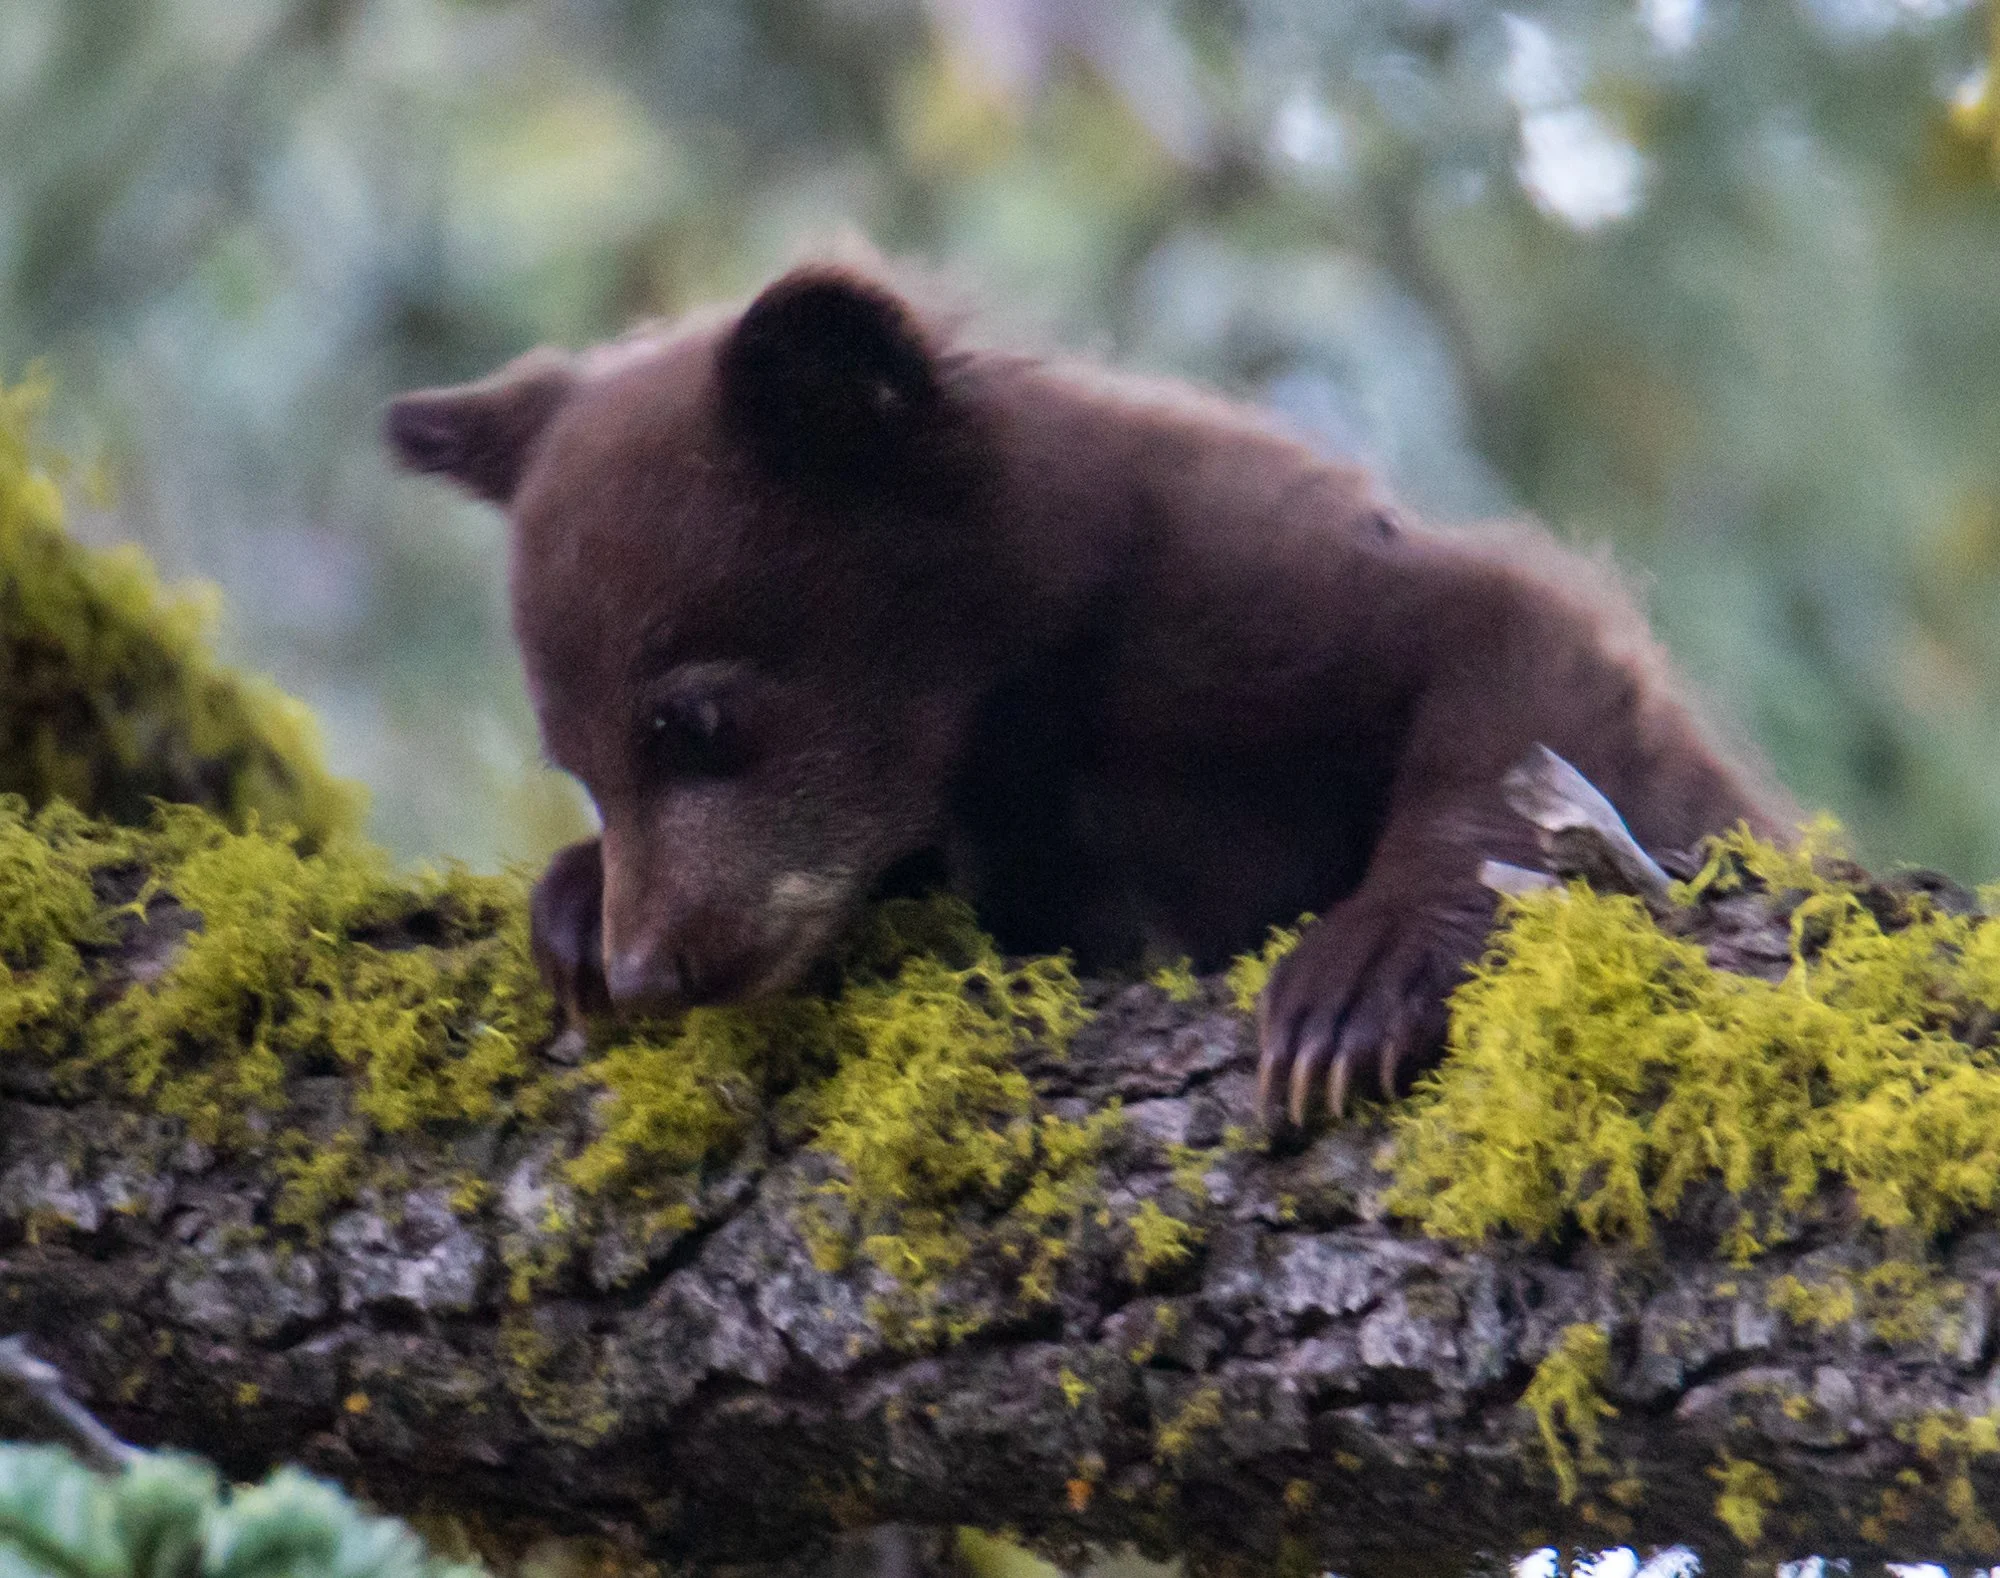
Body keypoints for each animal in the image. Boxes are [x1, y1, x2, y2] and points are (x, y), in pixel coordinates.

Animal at [385, 261, 1783, 1126]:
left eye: (696, 721)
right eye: (578, 761)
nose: (647, 971)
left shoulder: (1244, 607)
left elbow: (1520, 662)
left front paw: (1350, 993)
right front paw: (568, 906)